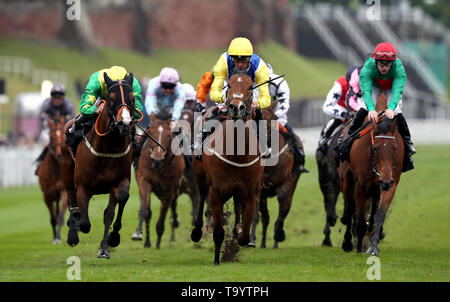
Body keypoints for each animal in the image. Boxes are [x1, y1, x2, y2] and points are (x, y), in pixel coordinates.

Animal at [60, 72, 137, 258]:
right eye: (111, 98)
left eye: (132, 98)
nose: (124, 124)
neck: (107, 147)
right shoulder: (83, 186)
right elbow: (85, 223)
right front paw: (76, 229)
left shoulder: (119, 182)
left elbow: (112, 210)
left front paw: (108, 243)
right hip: (67, 169)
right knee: (71, 200)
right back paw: (72, 234)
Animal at [131, 113, 185, 248]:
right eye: (151, 134)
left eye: (169, 135)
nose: (157, 159)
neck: (161, 168)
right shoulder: (145, 181)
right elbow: (145, 210)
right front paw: (138, 234)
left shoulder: (171, 188)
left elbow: (163, 213)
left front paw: (159, 240)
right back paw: (147, 241)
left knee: (173, 205)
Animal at [190, 72, 264, 264]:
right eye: (229, 85)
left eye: (250, 86)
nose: (236, 107)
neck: (235, 154)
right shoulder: (216, 191)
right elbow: (218, 232)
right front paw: (217, 260)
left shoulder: (250, 193)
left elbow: (244, 235)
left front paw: (237, 236)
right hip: (200, 178)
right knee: (201, 197)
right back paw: (197, 231)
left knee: (237, 206)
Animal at [248, 102, 308, 249]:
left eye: (273, 120)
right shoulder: (259, 188)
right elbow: (256, 215)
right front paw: (251, 240)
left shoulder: (287, 183)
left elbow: (283, 203)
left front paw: (279, 234)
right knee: (265, 217)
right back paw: (263, 244)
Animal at [340, 93, 402, 256]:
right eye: (375, 148)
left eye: (395, 148)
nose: (385, 181)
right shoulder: (360, 185)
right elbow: (359, 217)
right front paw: (358, 246)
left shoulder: (391, 183)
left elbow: (379, 215)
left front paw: (373, 246)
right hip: (347, 180)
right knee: (350, 208)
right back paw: (348, 241)